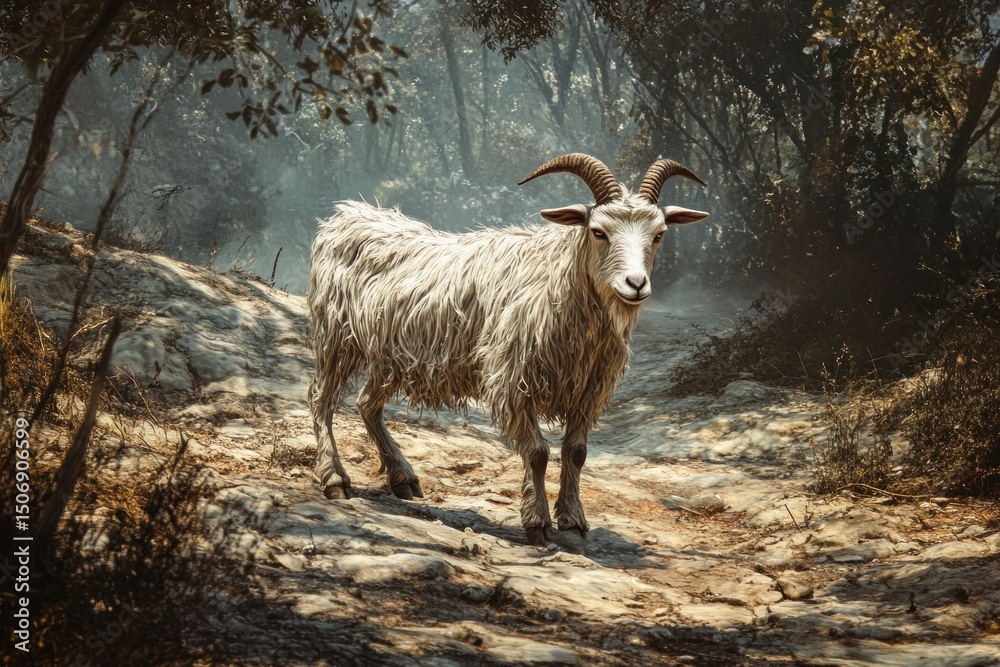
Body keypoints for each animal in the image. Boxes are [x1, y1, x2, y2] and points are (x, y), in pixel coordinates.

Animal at [308, 153, 708, 545]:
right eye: (598, 232)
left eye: (658, 235)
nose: (636, 284)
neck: (554, 283)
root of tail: (345, 216)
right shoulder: (514, 381)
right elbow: (537, 452)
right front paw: (537, 523)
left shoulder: (586, 389)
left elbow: (576, 452)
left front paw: (573, 521)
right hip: (335, 336)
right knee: (321, 400)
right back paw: (334, 479)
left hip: (389, 355)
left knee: (367, 404)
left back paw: (402, 477)